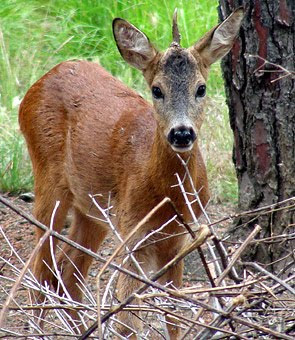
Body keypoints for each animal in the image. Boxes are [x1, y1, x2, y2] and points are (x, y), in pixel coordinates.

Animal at [19, 6, 245, 338]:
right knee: (40, 269)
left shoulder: (180, 237)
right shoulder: (132, 232)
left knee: (68, 271)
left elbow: (175, 312)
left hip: (93, 209)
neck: (168, 195)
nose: (181, 133)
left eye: (201, 88)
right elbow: (127, 319)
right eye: (157, 90)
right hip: (48, 178)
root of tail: (37, 84)